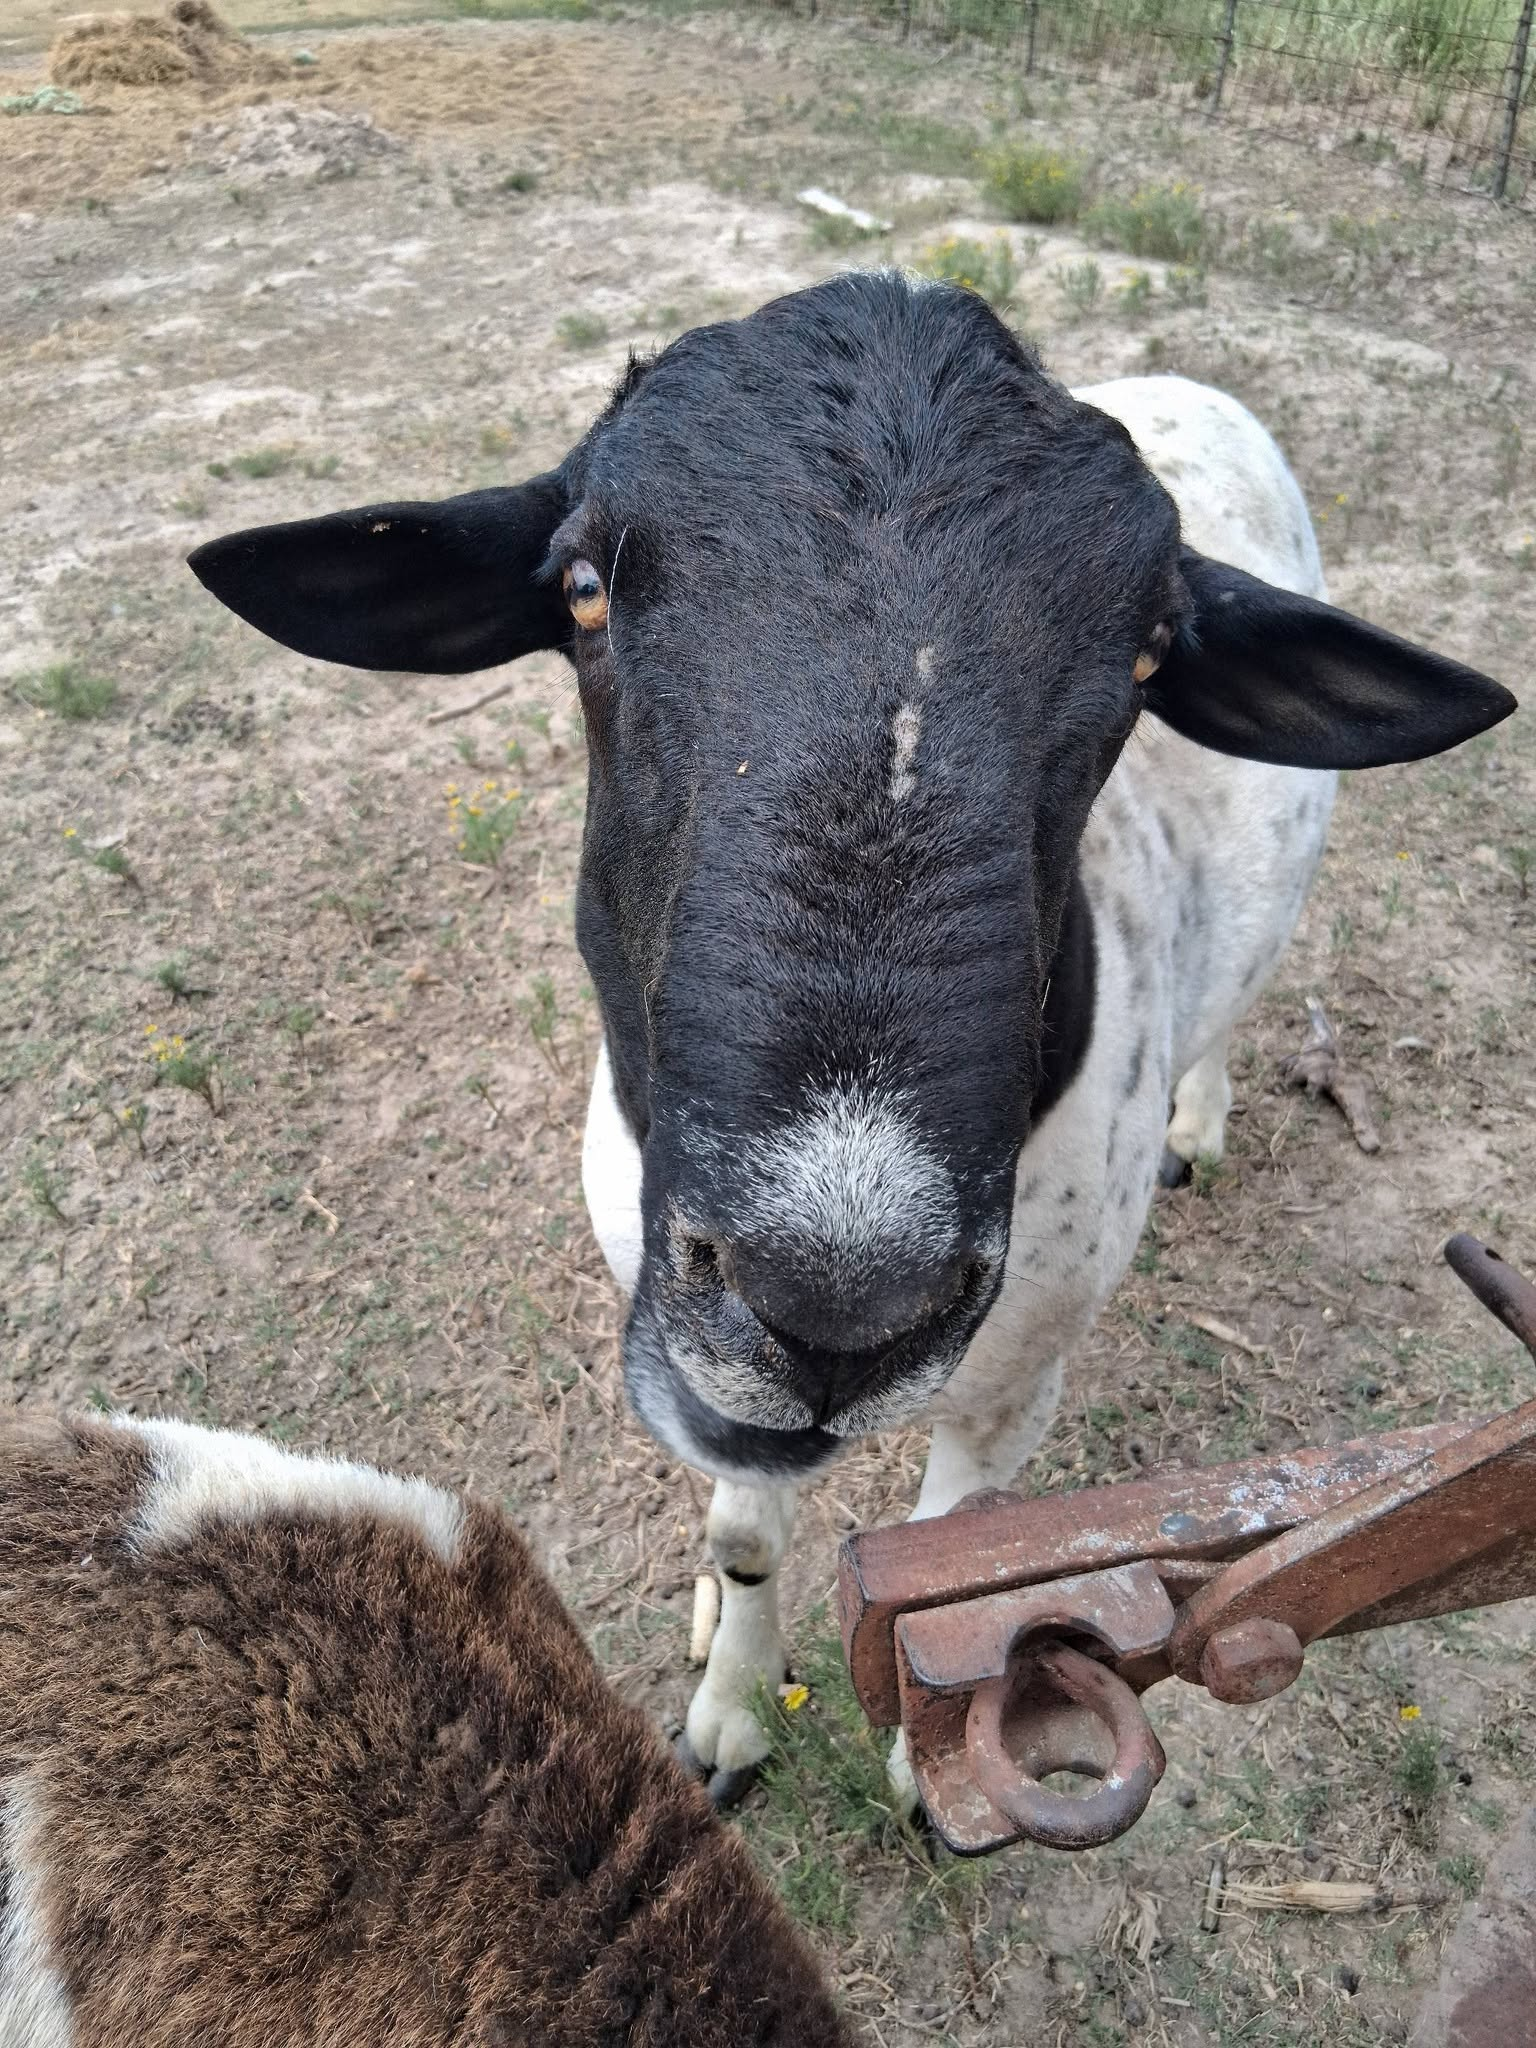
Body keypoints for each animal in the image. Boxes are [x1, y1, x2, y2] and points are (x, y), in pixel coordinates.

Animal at [187, 270, 1515, 1806]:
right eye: (581, 589)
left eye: (1145, 656)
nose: (833, 1299)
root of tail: (1199, 381)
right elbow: (749, 1535)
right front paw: (727, 1713)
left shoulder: (1016, 1378)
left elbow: (960, 1564)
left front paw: (929, 1760)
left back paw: (1201, 1122)